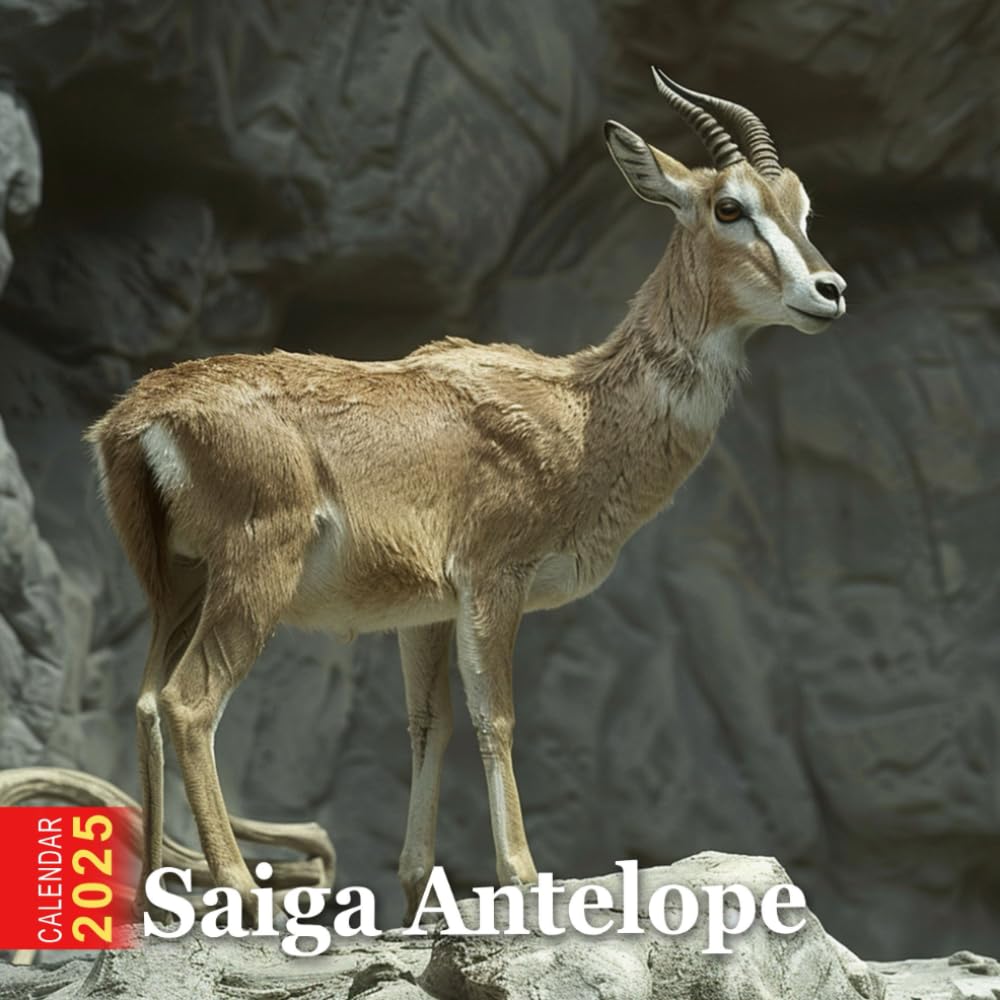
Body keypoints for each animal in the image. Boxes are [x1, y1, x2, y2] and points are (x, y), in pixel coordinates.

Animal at [87, 68, 846, 924]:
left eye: (801, 204)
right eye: (729, 206)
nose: (830, 290)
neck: (581, 412)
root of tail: (136, 417)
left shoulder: (423, 612)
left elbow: (430, 723)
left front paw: (420, 891)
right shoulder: (492, 581)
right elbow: (496, 716)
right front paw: (522, 873)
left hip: (177, 585)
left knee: (146, 702)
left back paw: (154, 900)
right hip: (253, 578)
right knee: (190, 703)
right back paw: (247, 893)